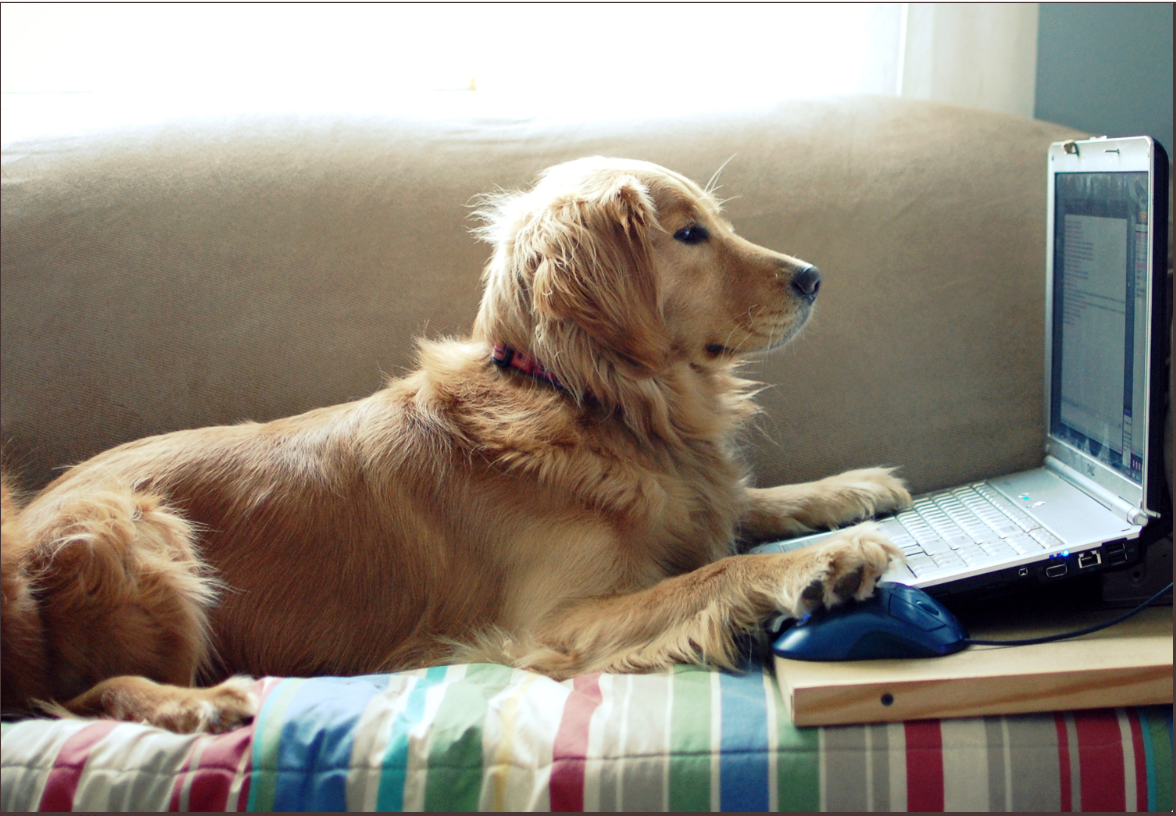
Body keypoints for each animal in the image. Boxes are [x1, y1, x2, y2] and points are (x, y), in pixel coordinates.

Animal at [0, 156, 907, 733]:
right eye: (689, 236)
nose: (814, 276)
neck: (581, 398)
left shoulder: (691, 499)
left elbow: (746, 503)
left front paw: (853, 487)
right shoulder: (561, 619)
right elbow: (715, 571)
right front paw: (825, 562)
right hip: (129, 527)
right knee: (63, 700)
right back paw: (193, 703)